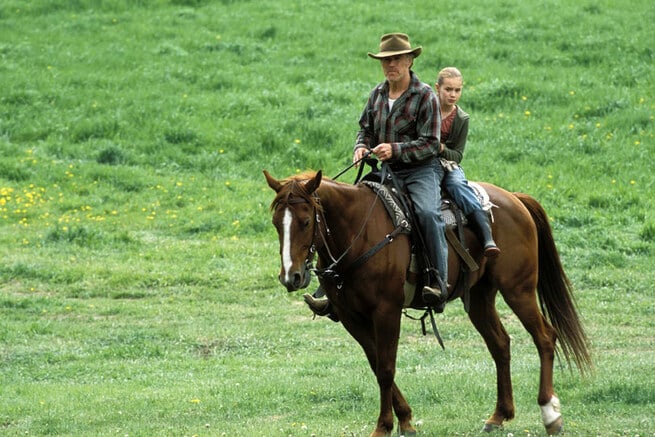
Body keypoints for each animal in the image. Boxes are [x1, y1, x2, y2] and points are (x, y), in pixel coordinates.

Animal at [264, 168, 592, 436]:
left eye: (306, 221)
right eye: (276, 224)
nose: (291, 277)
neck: (359, 231)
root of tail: (515, 199)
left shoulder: (386, 311)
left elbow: (386, 368)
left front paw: (384, 426)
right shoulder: (351, 317)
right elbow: (376, 365)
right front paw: (406, 420)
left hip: (518, 290)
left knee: (545, 337)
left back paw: (550, 415)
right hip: (480, 298)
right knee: (500, 344)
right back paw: (499, 416)